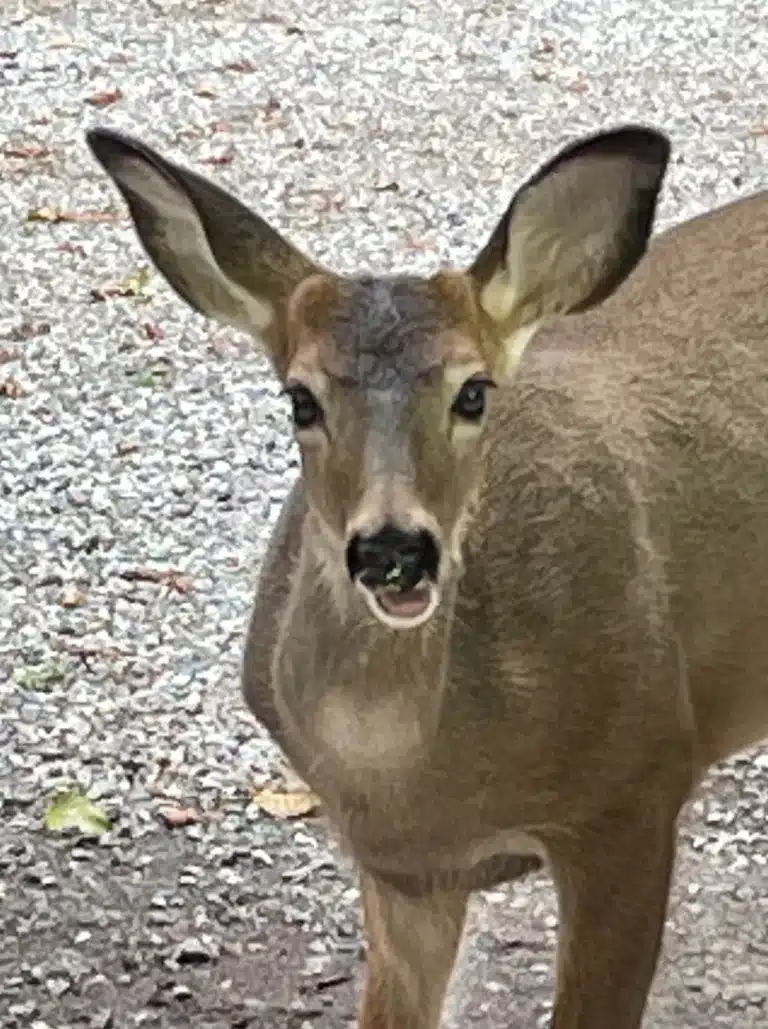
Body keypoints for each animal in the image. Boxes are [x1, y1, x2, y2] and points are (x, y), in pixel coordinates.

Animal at [85, 122, 765, 1029]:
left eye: (473, 392)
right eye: (299, 399)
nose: (393, 547)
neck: (416, 779)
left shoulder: (638, 782)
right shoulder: (402, 868)